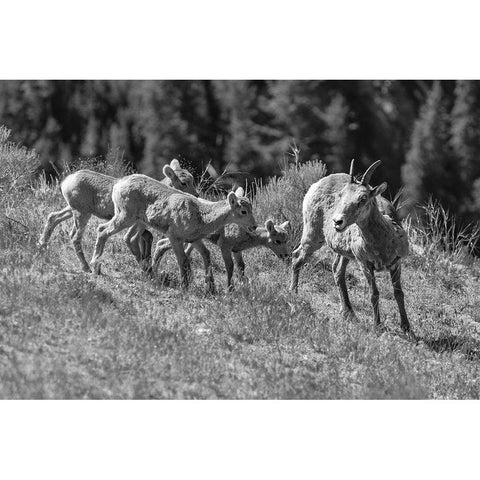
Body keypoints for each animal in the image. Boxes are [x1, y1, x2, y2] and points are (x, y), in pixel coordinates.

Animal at [36, 159, 196, 272]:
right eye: (183, 182)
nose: (197, 195)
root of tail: (67, 181)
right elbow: (141, 238)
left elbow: (147, 238)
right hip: (82, 213)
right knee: (75, 235)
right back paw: (87, 268)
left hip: (72, 209)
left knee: (53, 217)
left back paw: (42, 249)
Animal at [88, 175, 256, 290]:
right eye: (243, 211)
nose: (254, 226)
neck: (201, 215)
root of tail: (118, 185)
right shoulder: (174, 237)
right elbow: (183, 261)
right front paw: (185, 287)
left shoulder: (194, 239)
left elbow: (206, 255)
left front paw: (211, 288)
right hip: (126, 216)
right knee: (103, 230)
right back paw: (95, 267)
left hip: (136, 220)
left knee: (126, 237)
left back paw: (147, 272)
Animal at [290, 159, 410, 336]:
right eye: (341, 195)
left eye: (363, 197)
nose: (337, 221)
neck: (384, 241)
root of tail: (315, 185)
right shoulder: (365, 264)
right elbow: (374, 294)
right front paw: (377, 325)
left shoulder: (396, 263)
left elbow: (399, 293)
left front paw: (407, 328)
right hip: (313, 235)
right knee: (297, 256)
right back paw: (294, 294)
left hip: (344, 253)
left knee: (337, 270)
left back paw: (349, 312)